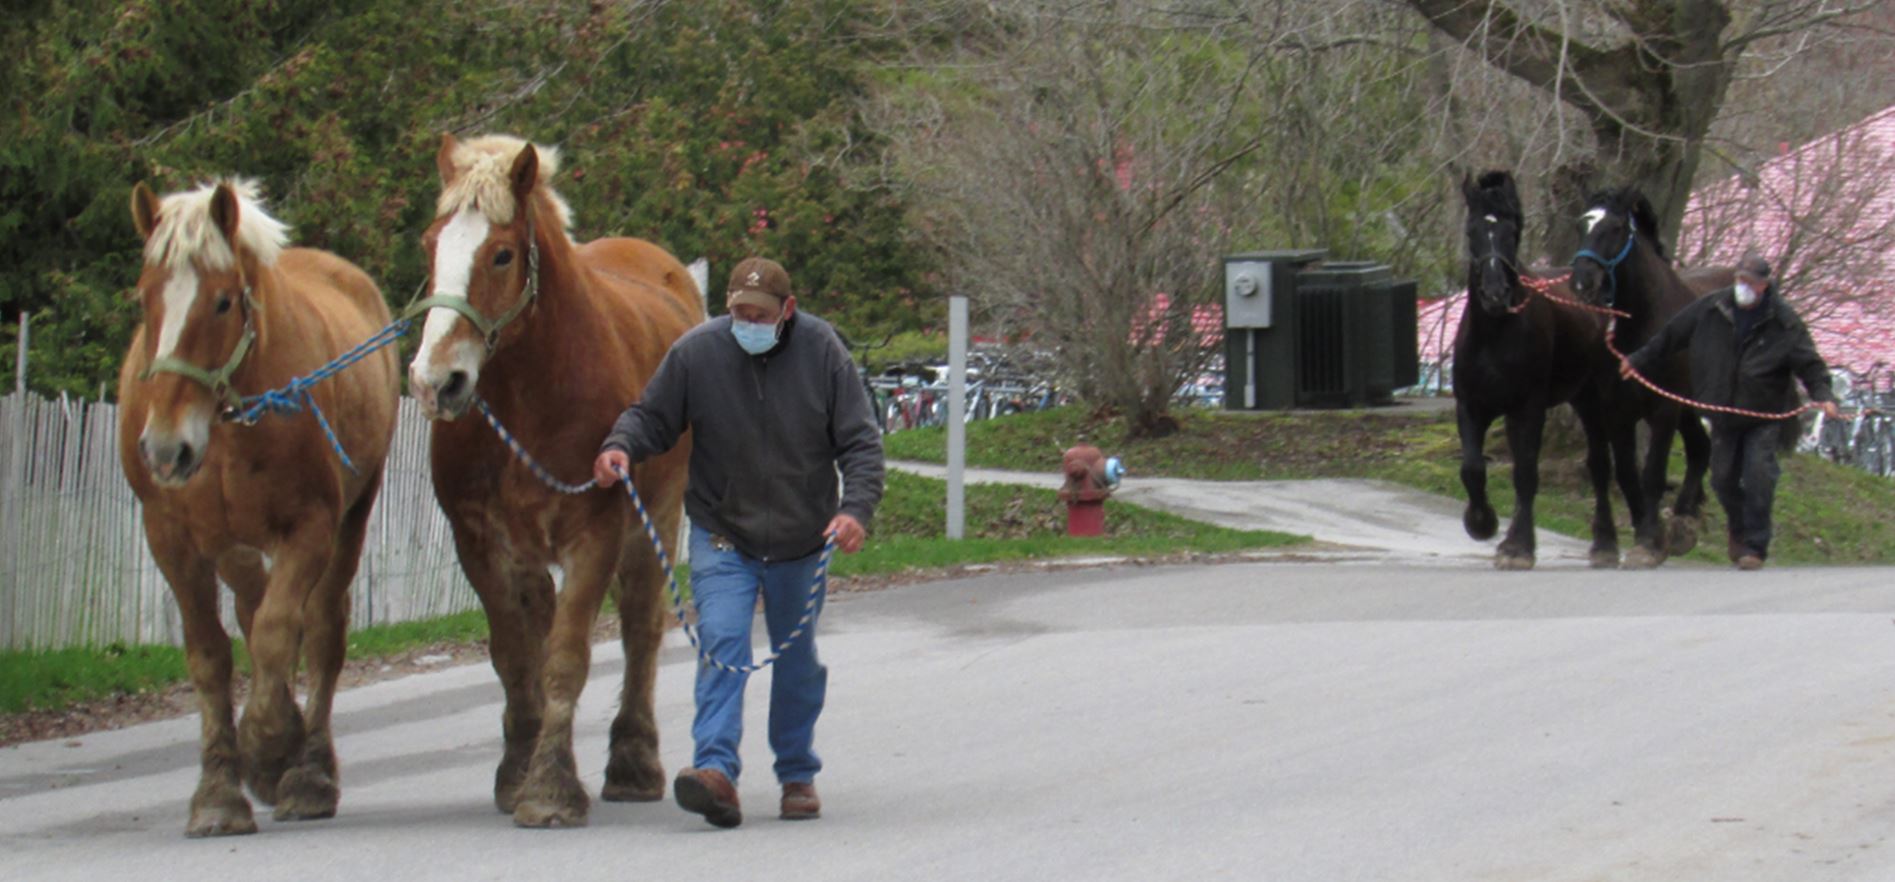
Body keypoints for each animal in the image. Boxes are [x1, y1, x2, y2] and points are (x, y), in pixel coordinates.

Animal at [118, 177, 399, 830]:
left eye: (223, 302)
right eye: (145, 297)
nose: (165, 448)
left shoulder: (309, 528)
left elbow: (277, 631)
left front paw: (271, 749)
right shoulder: (171, 540)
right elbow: (209, 655)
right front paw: (218, 791)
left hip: (350, 520)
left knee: (319, 630)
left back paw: (309, 769)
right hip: (231, 545)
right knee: (252, 603)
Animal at [407, 132, 704, 826]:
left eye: (502, 254)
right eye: (431, 244)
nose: (435, 382)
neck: (530, 397)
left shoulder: (593, 535)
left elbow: (567, 658)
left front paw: (549, 789)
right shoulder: (482, 545)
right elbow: (517, 660)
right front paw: (519, 771)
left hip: (657, 516)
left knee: (641, 628)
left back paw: (633, 762)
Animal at [1455, 170, 1637, 569]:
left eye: (1512, 231)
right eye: (1471, 231)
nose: (1494, 294)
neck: (1494, 332)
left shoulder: (1529, 408)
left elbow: (1526, 473)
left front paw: (1519, 547)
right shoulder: (1471, 406)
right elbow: (1473, 468)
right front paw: (1482, 523)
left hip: (1595, 400)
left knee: (1600, 466)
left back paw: (1606, 543)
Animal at [1561, 188, 1728, 569]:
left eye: (1617, 227)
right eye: (1581, 224)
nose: (1582, 281)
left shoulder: (1663, 409)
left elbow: (1652, 474)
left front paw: (1649, 544)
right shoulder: (1616, 411)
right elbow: (1624, 473)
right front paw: (1639, 535)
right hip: (1688, 408)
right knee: (1700, 449)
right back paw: (1682, 524)